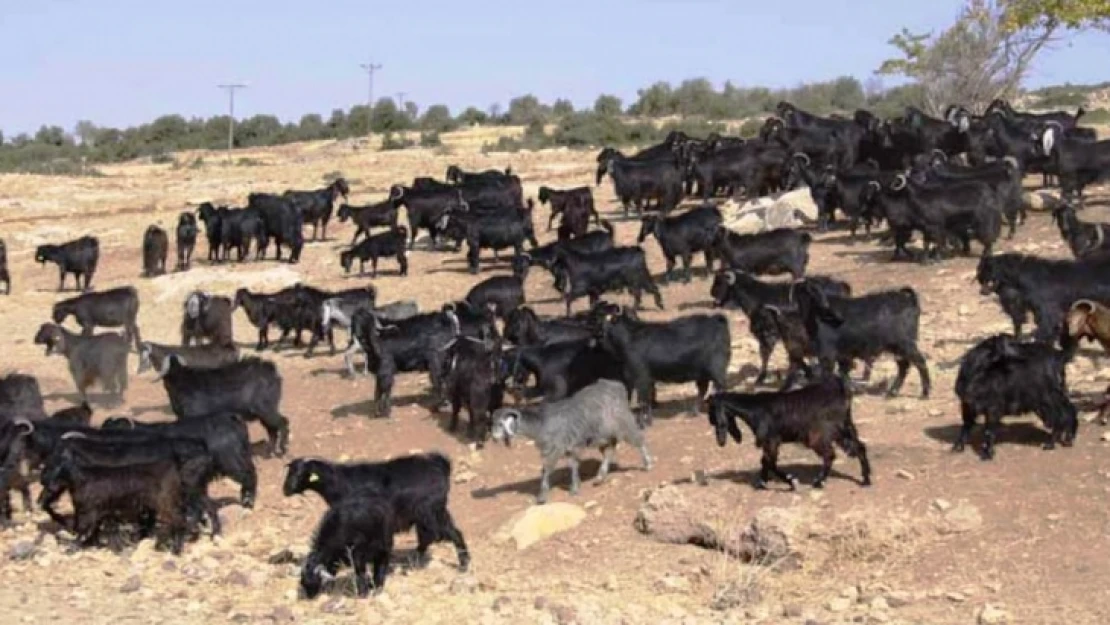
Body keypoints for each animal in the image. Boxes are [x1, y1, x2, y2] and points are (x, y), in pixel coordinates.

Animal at [492, 379, 648, 506]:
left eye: (501, 424)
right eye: (493, 423)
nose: (493, 438)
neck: (540, 424)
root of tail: (616, 385)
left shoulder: (559, 449)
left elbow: (549, 469)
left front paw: (544, 496)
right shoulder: (567, 448)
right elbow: (568, 466)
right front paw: (574, 487)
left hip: (625, 423)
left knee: (640, 441)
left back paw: (648, 464)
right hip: (602, 436)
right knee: (609, 452)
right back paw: (599, 478)